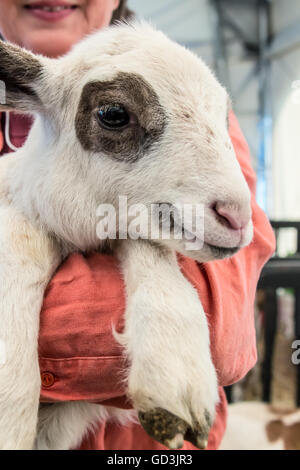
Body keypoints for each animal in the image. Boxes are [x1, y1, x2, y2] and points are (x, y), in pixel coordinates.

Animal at [0, 23, 253, 452]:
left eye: (224, 117)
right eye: (113, 114)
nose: (236, 216)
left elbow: (147, 246)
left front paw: (173, 369)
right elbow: (21, 246)